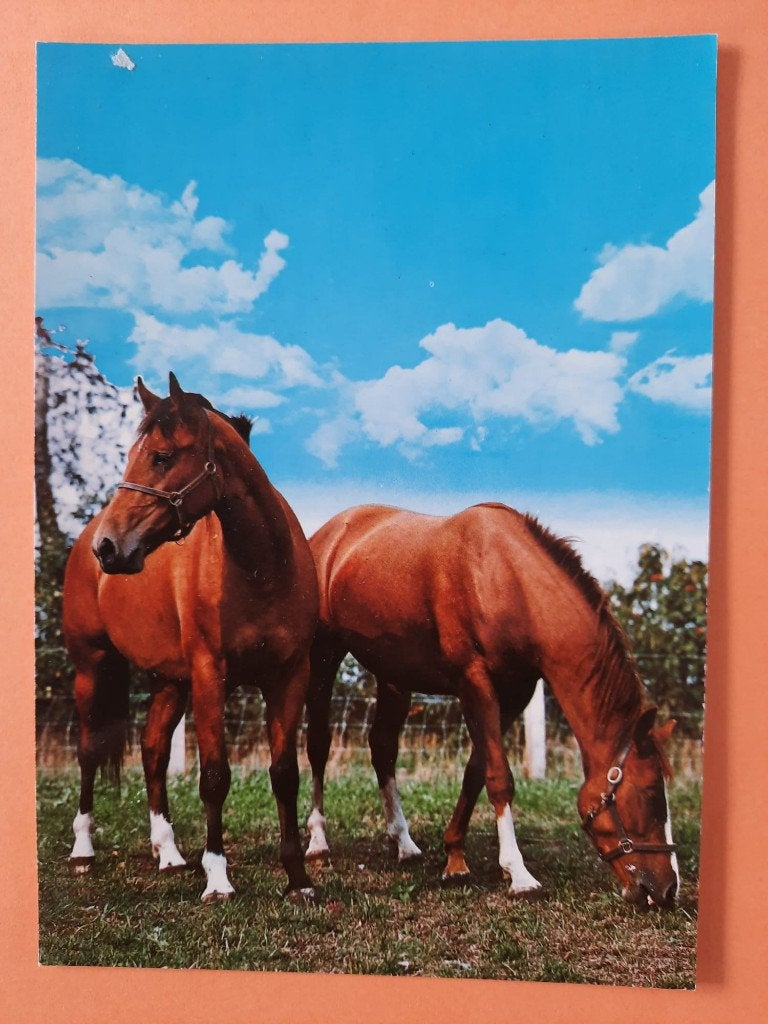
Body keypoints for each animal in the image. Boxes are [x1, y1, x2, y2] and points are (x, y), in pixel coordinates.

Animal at [62, 373, 319, 902]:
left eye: (161, 456)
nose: (109, 547)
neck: (262, 569)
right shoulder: (209, 676)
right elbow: (215, 776)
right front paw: (218, 878)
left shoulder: (289, 677)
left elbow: (285, 774)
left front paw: (298, 878)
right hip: (91, 666)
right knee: (89, 750)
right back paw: (83, 851)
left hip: (168, 682)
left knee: (153, 750)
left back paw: (170, 853)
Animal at [304, 503, 680, 909]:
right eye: (650, 795)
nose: (667, 890)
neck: (505, 579)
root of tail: (331, 533)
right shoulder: (475, 683)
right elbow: (500, 778)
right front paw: (519, 873)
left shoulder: (515, 693)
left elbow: (477, 771)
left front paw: (454, 859)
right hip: (324, 657)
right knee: (318, 745)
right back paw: (318, 841)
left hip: (392, 675)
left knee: (383, 748)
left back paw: (404, 843)